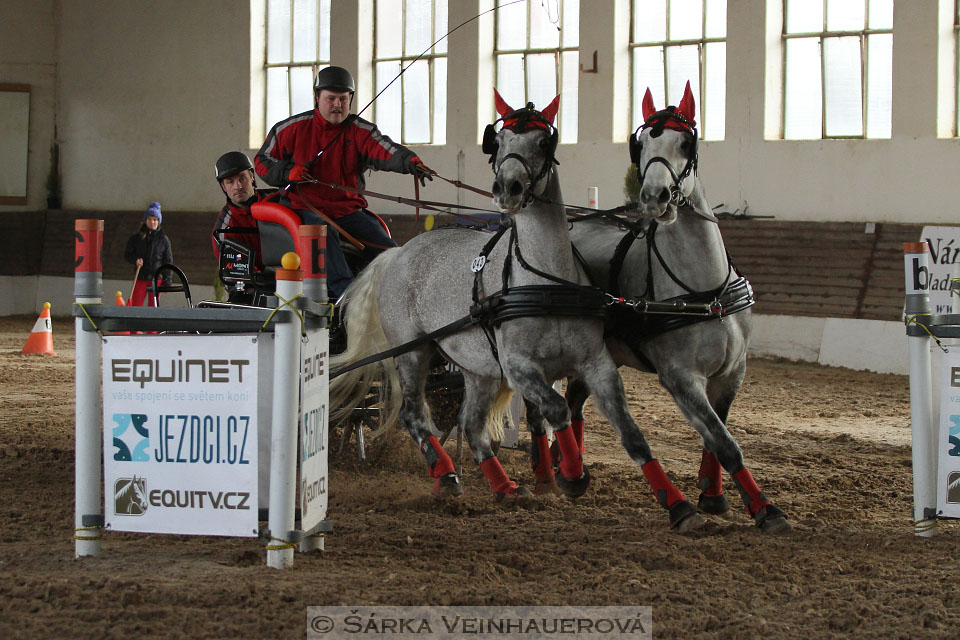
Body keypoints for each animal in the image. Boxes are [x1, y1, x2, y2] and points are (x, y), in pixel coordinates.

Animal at [330, 90, 704, 528]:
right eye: (501, 139)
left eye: (543, 141)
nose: (507, 187)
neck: (545, 279)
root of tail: (397, 253)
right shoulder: (519, 366)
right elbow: (557, 409)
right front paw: (571, 475)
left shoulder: (596, 362)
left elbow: (629, 430)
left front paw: (679, 505)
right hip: (413, 351)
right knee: (414, 415)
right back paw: (447, 477)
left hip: (476, 368)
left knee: (471, 425)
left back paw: (505, 487)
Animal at [568, 84, 792, 536]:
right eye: (641, 145)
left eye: (685, 143)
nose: (655, 197)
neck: (703, 289)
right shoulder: (680, 377)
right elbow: (726, 442)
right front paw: (764, 508)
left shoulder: (731, 372)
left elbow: (717, 434)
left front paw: (714, 494)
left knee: (574, 399)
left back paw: (573, 473)